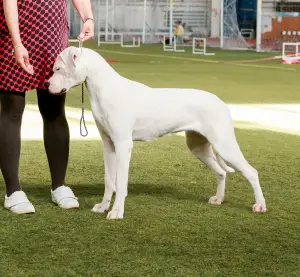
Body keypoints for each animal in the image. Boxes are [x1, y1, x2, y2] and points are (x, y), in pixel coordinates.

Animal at [47, 48, 268, 220]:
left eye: (58, 69)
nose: (47, 85)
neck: (105, 89)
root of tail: (220, 102)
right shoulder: (108, 145)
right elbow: (110, 181)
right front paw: (103, 207)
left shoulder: (123, 145)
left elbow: (120, 182)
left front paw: (117, 212)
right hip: (199, 147)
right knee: (221, 172)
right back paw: (218, 199)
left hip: (224, 144)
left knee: (251, 172)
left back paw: (260, 205)